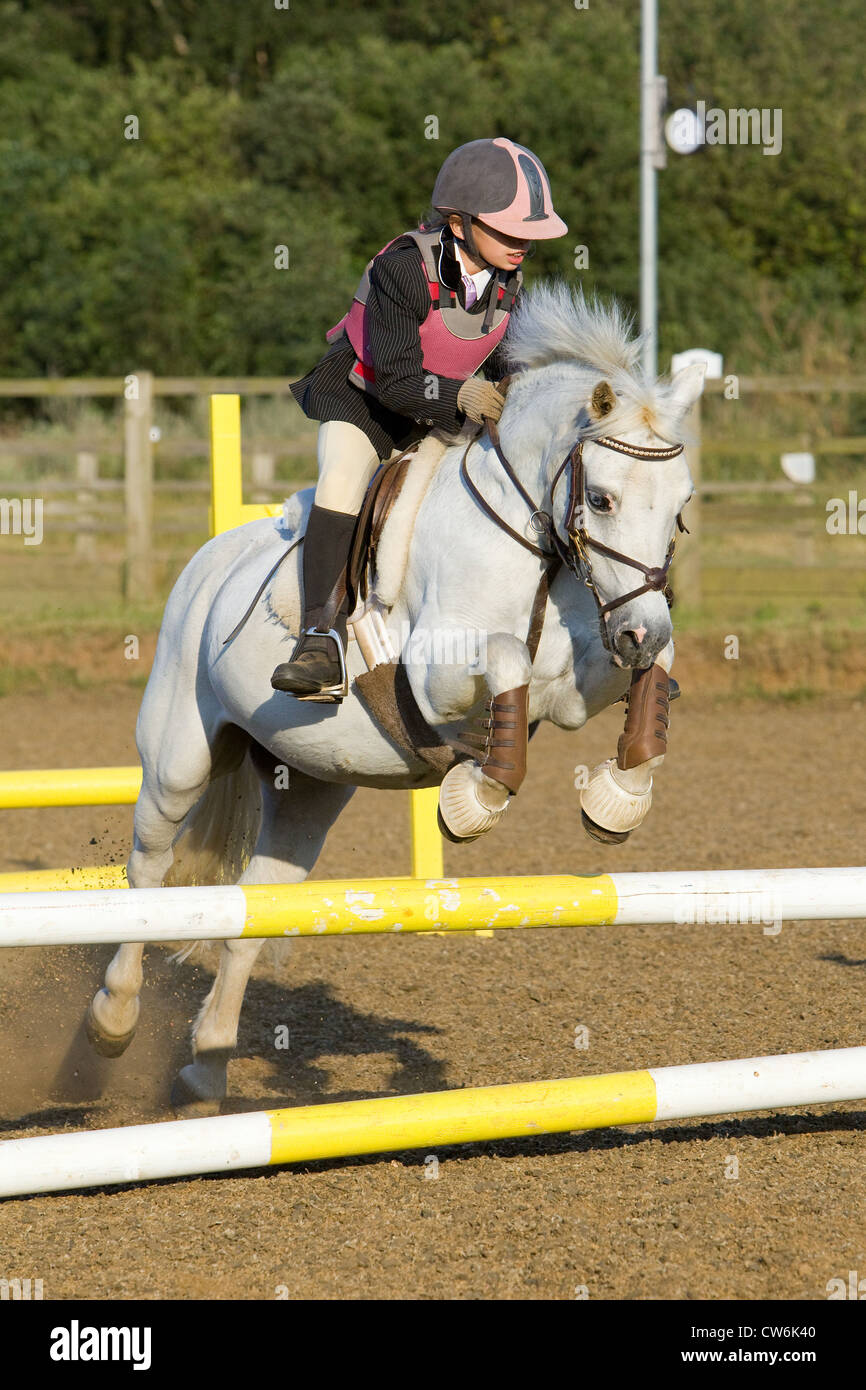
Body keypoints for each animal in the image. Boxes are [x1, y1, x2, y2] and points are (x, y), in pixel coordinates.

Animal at [85, 284, 705, 1112]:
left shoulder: (583, 676)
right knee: (148, 875)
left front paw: (619, 796)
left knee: (254, 909)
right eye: (602, 500)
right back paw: (112, 1022)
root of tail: (209, 561)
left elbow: (645, 675)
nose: (638, 628)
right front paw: (472, 802)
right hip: (178, 760)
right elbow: (505, 659)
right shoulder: (435, 676)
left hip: (307, 788)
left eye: (681, 504)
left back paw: (206, 1069)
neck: (534, 541)